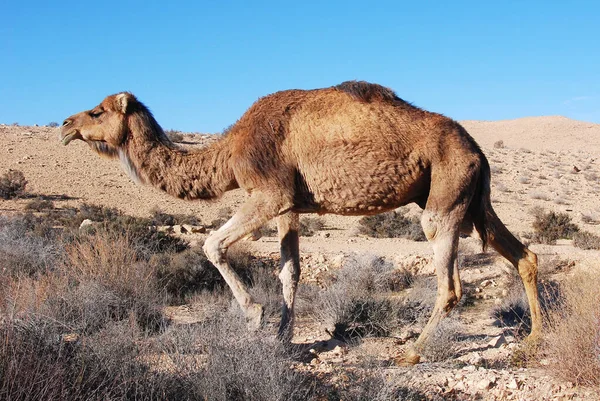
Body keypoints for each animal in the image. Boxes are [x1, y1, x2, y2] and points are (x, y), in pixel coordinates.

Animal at [61, 80, 544, 362]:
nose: (65, 125)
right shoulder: (289, 205)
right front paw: (283, 339)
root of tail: (476, 149)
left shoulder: (269, 191)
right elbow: (289, 271)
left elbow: (212, 244)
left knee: (451, 284)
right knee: (524, 256)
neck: (229, 152)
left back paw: (410, 354)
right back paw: (533, 340)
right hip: (474, 198)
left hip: (445, 195)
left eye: (98, 111)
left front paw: (254, 317)